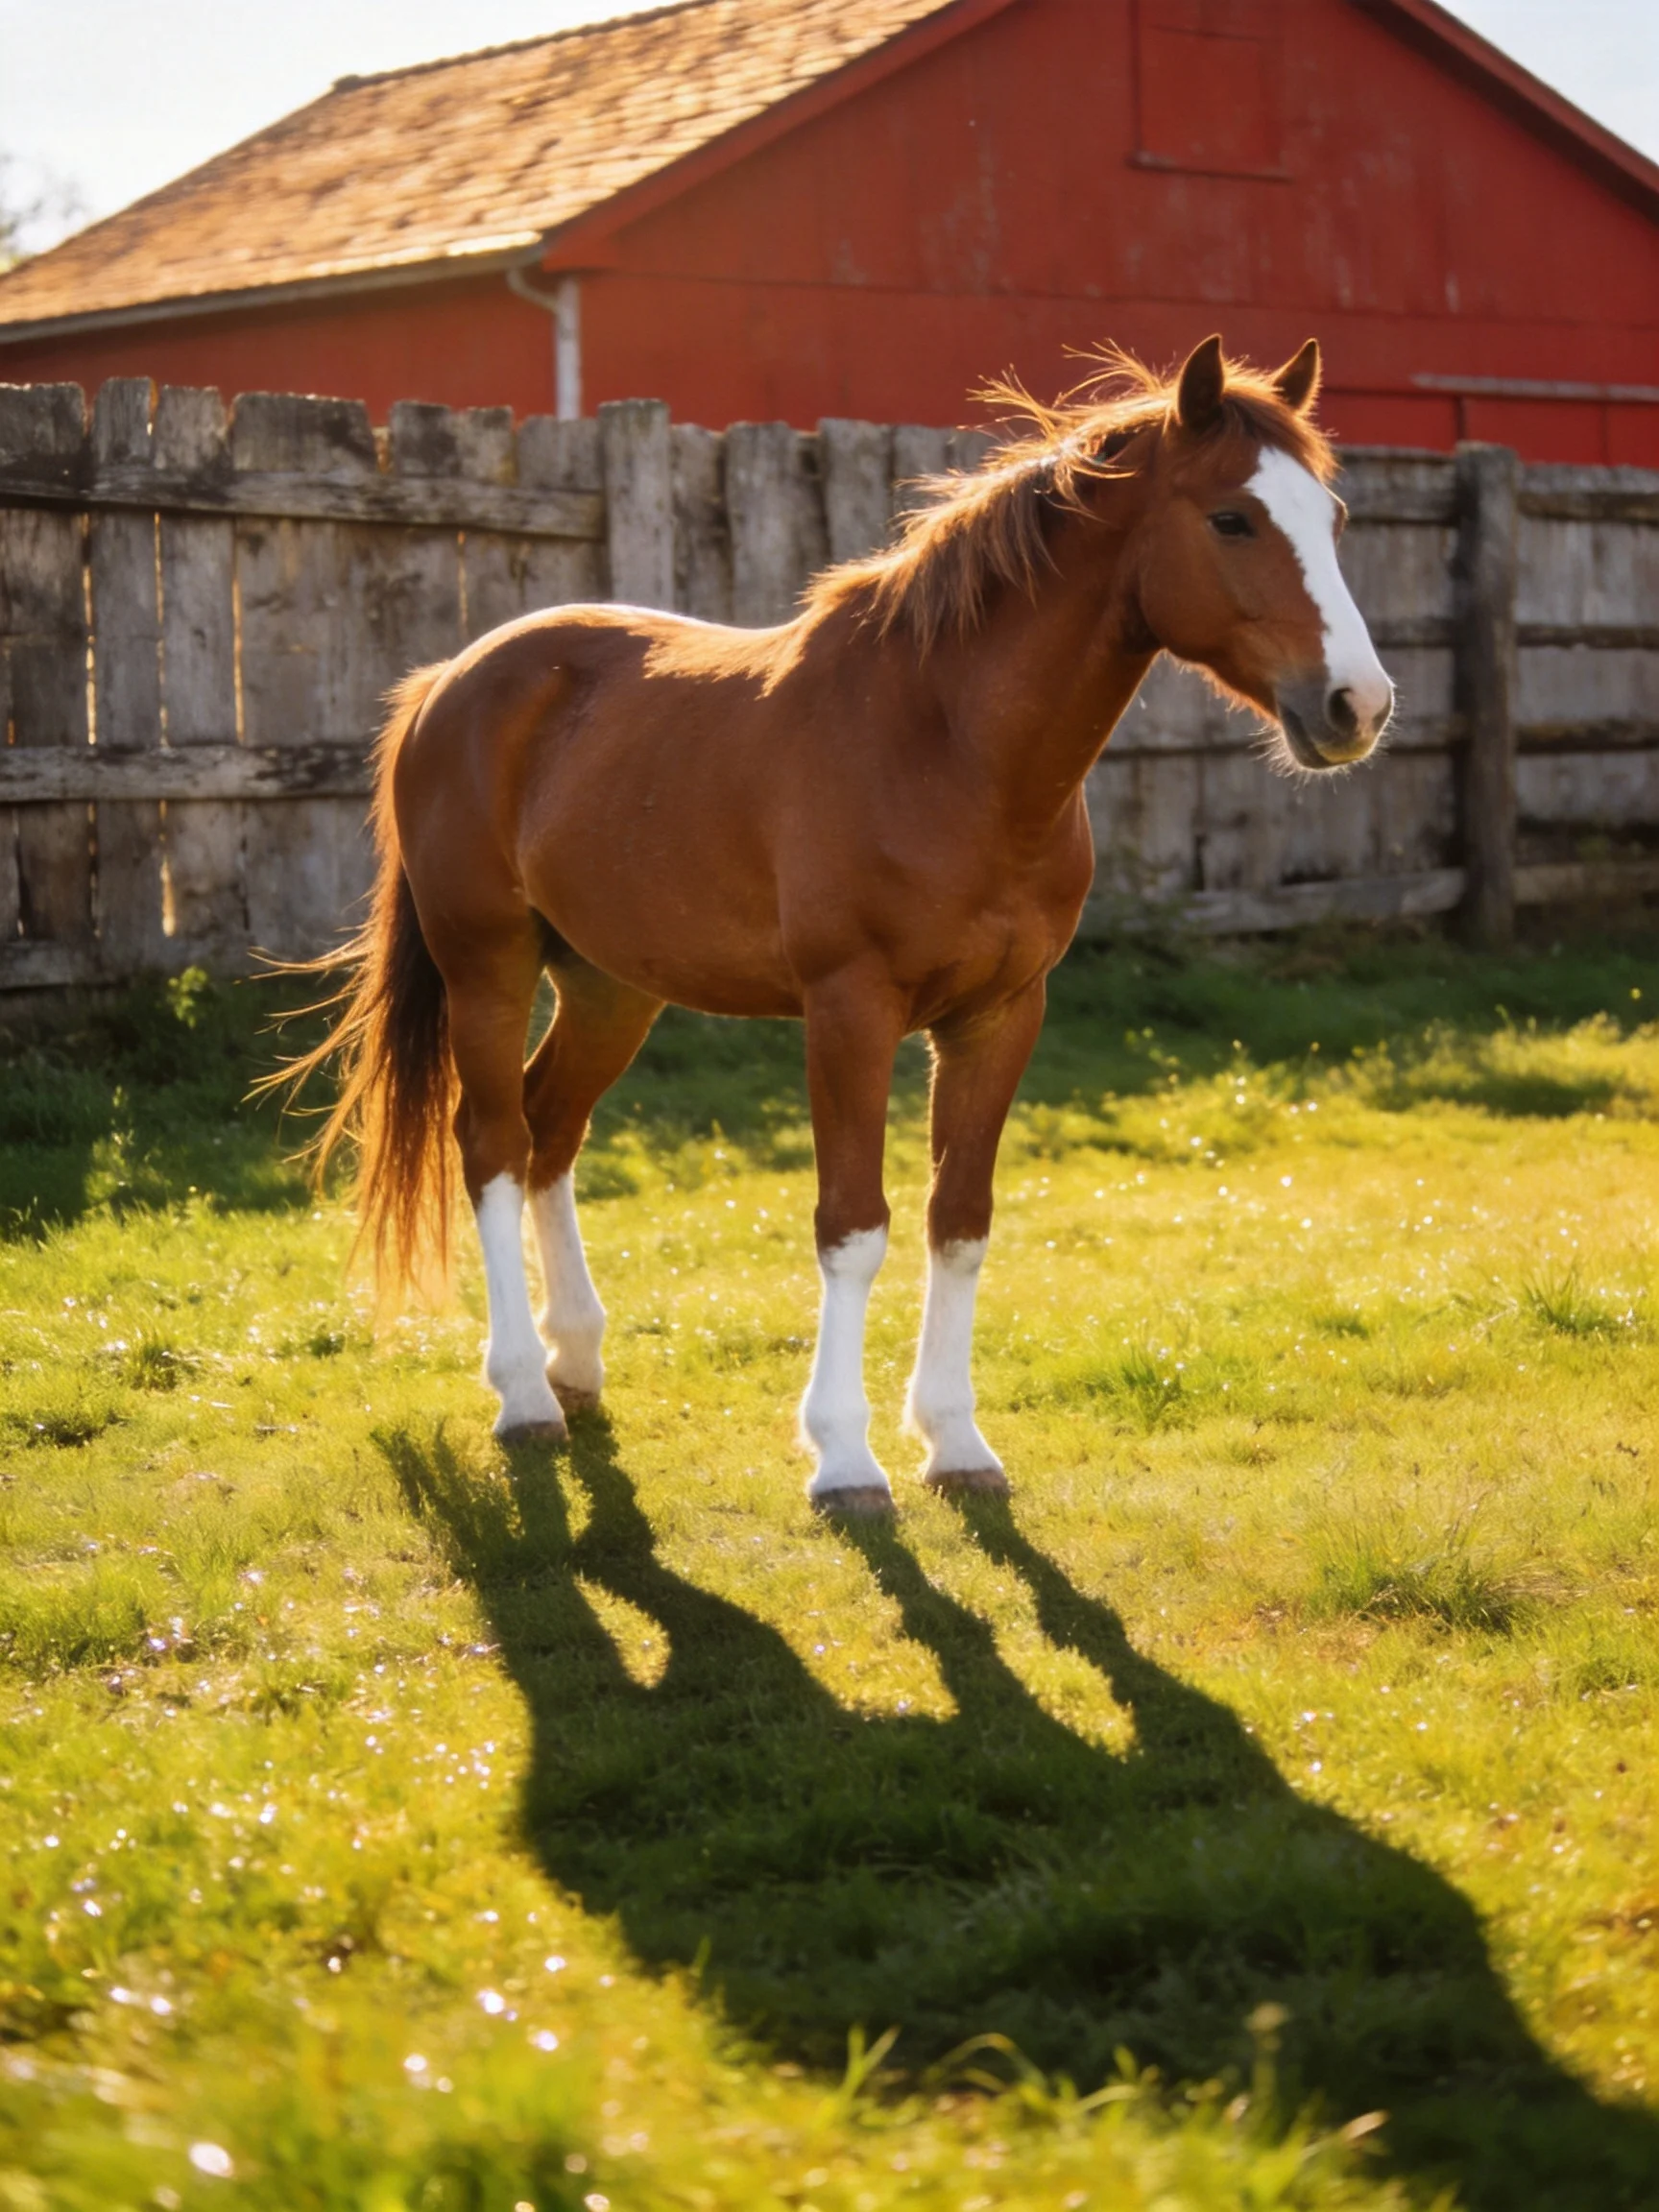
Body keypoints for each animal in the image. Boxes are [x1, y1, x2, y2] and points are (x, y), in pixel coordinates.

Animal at [285, 335, 1392, 1515]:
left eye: (1330, 517)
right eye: (1232, 518)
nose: (1357, 706)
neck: (948, 748)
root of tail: (451, 681)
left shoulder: (1003, 1015)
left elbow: (961, 1220)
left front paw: (955, 1443)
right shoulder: (849, 1011)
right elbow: (853, 1226)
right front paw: (845, 1458)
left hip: (609, 986)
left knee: (551, 1131)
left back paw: (574, 1358)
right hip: (486, 964)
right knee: (491, 1143)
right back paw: (524, 1396)